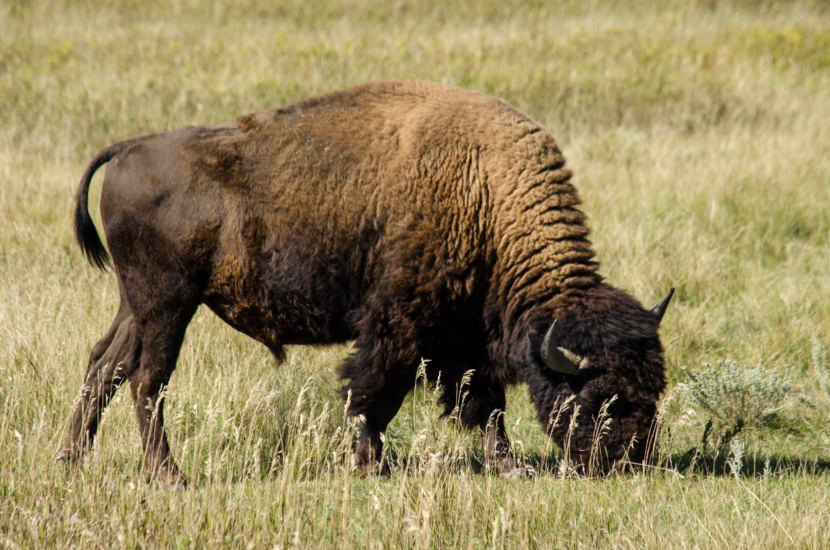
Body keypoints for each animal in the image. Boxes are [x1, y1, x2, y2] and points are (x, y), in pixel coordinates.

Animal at [58, 80, 672, 486]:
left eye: (654, 389)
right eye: (600, 396)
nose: (631, 461)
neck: (485, 190)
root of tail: (129, 149)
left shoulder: (465, 337)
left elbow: (485, 402)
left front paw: (507, 464)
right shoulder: (398, 325)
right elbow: (375, 393)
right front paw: (372, 464)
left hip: (135, 305)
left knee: (104, 366)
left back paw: (72, 461)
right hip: (168, 304)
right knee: (148, 379)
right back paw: (169, 476)